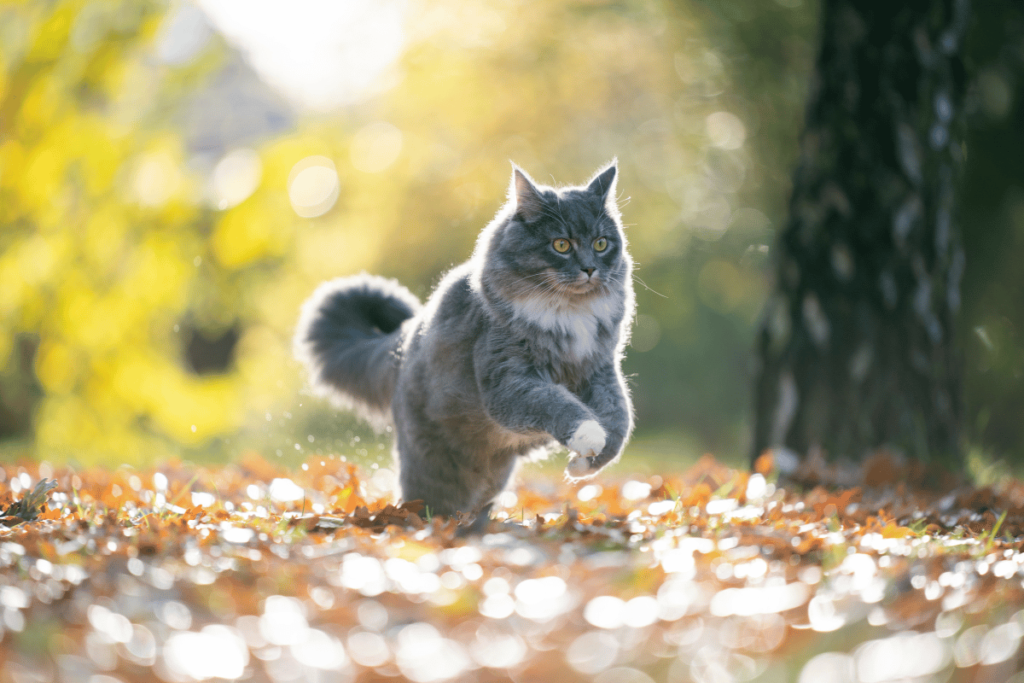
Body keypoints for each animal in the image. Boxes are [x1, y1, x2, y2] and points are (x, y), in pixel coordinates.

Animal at [292, 162, 634, 532]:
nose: (590, 268)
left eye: (601, 243)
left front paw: (583, 465)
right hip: (432, 463)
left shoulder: (600, 371)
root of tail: (404, 340)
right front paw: (588, 437)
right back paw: (435, 526)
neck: (570, 313)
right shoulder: (509, 381)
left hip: (492, 473)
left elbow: (619, 421)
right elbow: (559, 404)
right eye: (561, 244)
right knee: (427, 501)